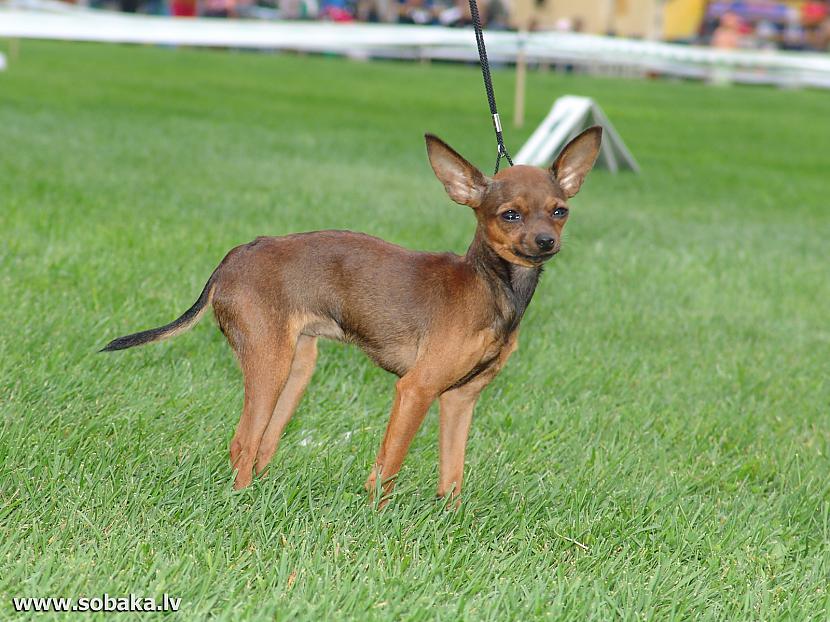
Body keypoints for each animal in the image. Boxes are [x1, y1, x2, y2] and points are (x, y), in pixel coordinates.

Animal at [102, 127, 604, 508]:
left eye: (559, 211)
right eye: (510, 215)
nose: (546, 241)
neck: (490, 285)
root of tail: (237, 254)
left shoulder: (459, 400)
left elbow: (452, 475)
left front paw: (451, 521)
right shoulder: (415, 390)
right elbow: (390, 464)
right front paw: (377, 518)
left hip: (297, 368)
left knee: (263, 443)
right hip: (269, 365)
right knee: (243, 442)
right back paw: (239, 505)